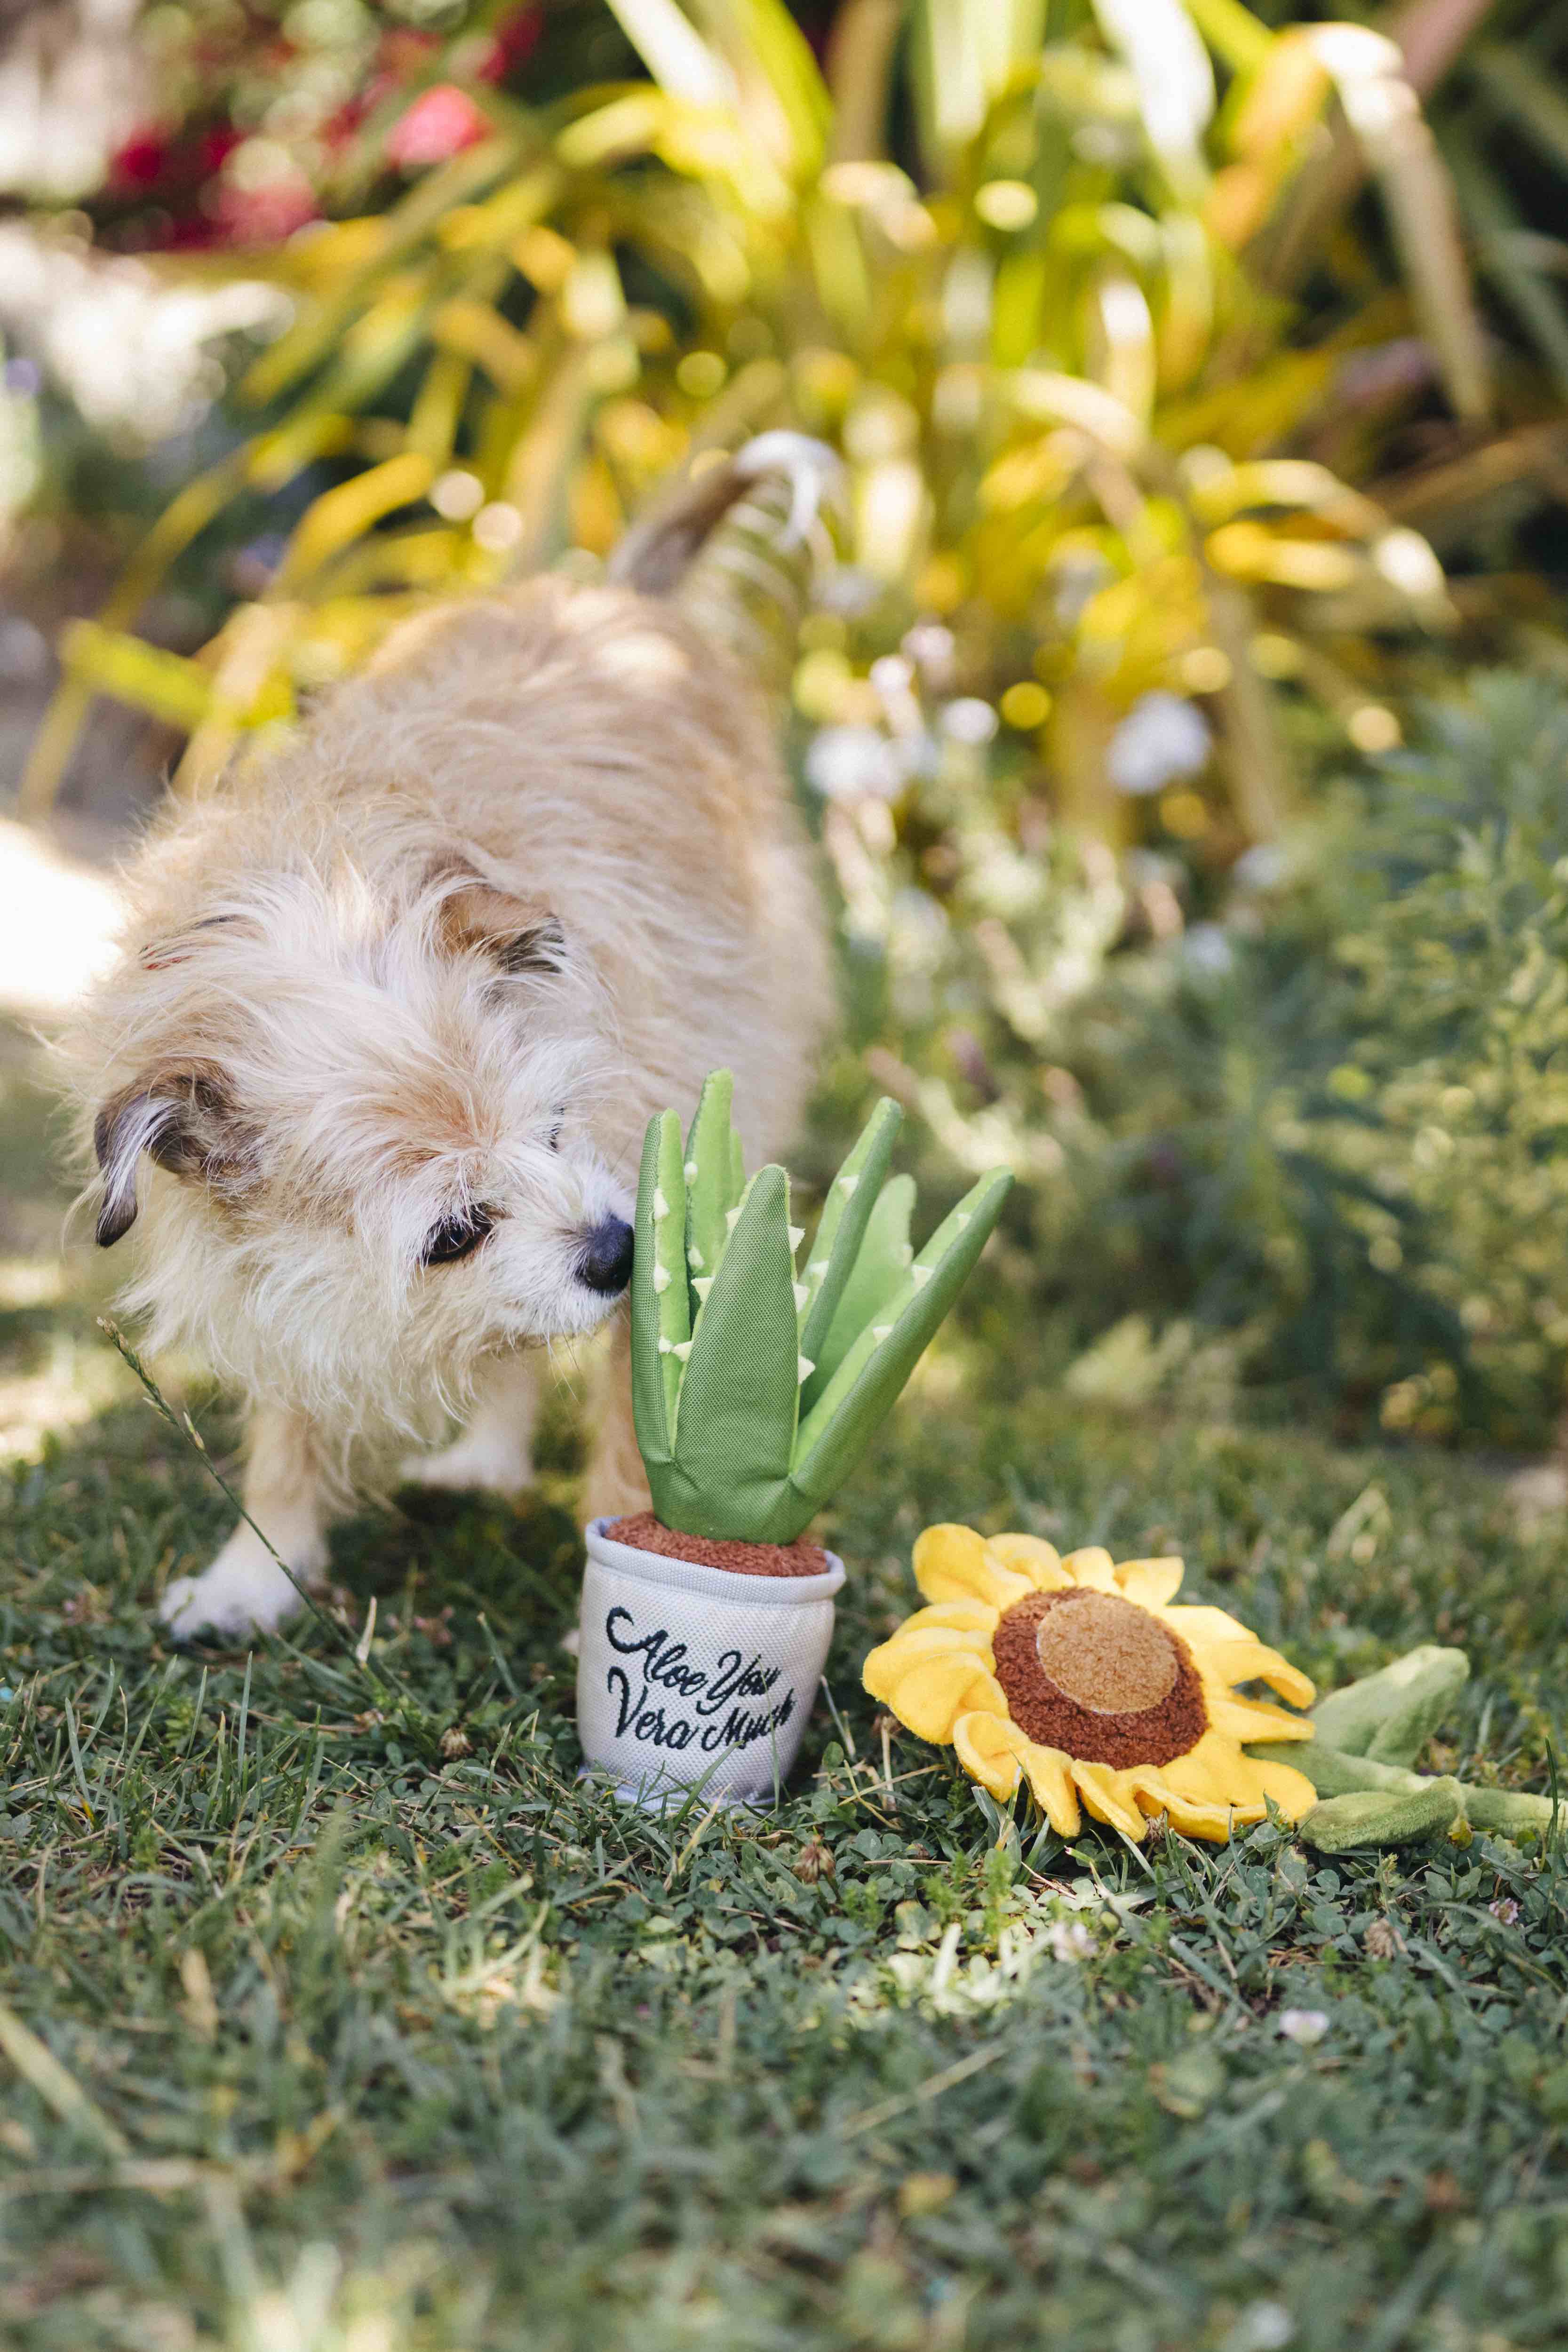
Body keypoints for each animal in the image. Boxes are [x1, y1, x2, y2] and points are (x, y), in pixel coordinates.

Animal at [64, 445, 832, 1656]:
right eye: (453, 1234)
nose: (615, 1250)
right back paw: (485, 1457)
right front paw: (256, 1572)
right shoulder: (286, 1279)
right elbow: (292, 1412)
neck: (336, 886)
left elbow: (636, 1425)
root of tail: (620, 593)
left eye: (557, 1127)